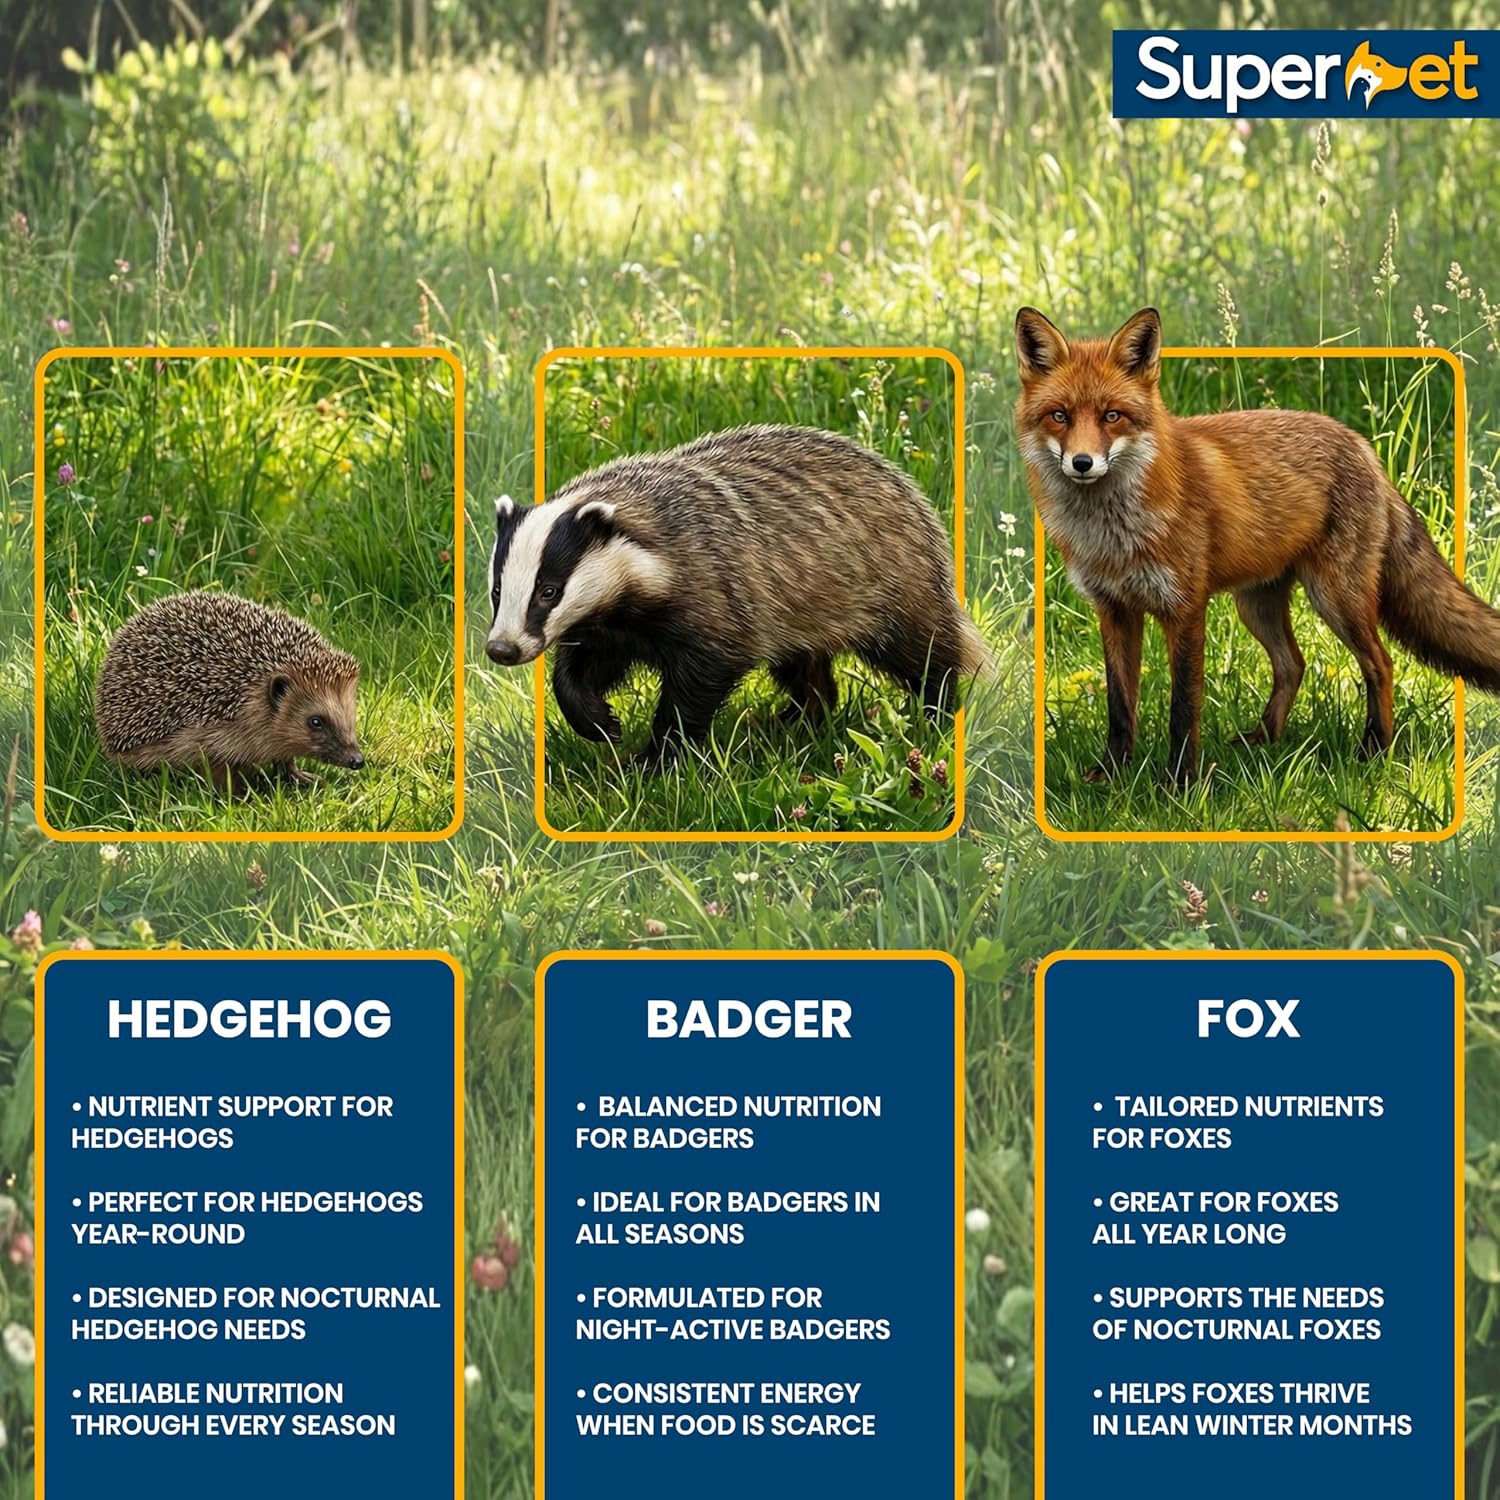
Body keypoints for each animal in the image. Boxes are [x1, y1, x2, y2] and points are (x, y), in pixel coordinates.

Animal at [1014, 304, 1500, 783]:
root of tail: (1362, 447)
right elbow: (1119, 705)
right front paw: (1111, 774)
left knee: (1380, 663)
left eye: (1112, 416)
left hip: (1335, 599)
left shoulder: (1184, 608)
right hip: (1256, 605)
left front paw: (1179, 783)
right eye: (1059, 415)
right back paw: (1264, 740)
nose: (1082, 463)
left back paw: (1375, 751)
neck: (1112, 535)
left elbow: (1182, 707)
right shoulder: (1114, 609)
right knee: (1293, 664)